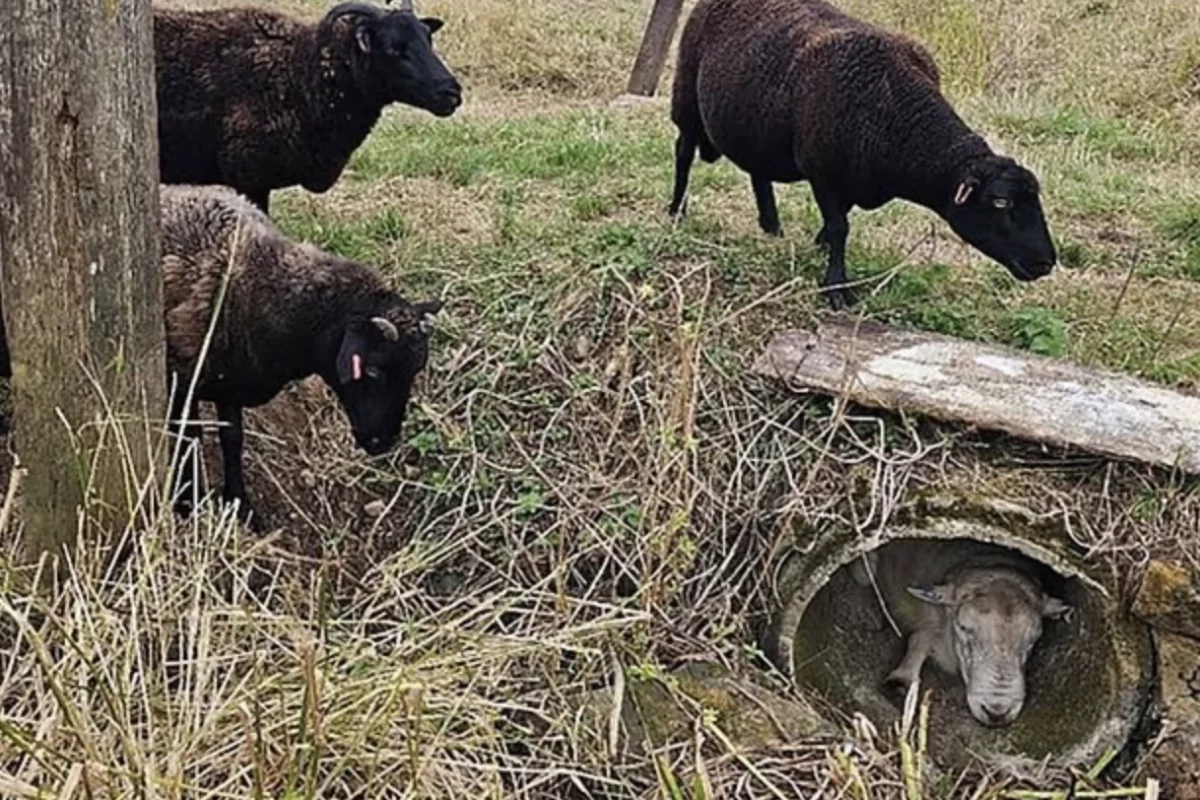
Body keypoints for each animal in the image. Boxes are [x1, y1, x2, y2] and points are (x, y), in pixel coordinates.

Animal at [0, 184, 443, 525]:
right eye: (374, 371)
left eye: (414, 372)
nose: (383, 442)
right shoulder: (180, 379)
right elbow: (189, 437)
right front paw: (186, 502)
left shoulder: (230, 380)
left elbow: (232, 438)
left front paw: (240, 505)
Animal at [669, 0, 1057, 309]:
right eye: (1000, 202)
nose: (1046, 263)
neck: (895, 115)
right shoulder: (823, 170)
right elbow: (841, 226)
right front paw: (836, 288)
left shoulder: (857, 178)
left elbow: (837, 222)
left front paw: (820, 248)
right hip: (687, 97)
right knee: (684, 153)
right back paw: (676, 212)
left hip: (755, 124)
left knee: (758, 171)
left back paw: (771, 226)